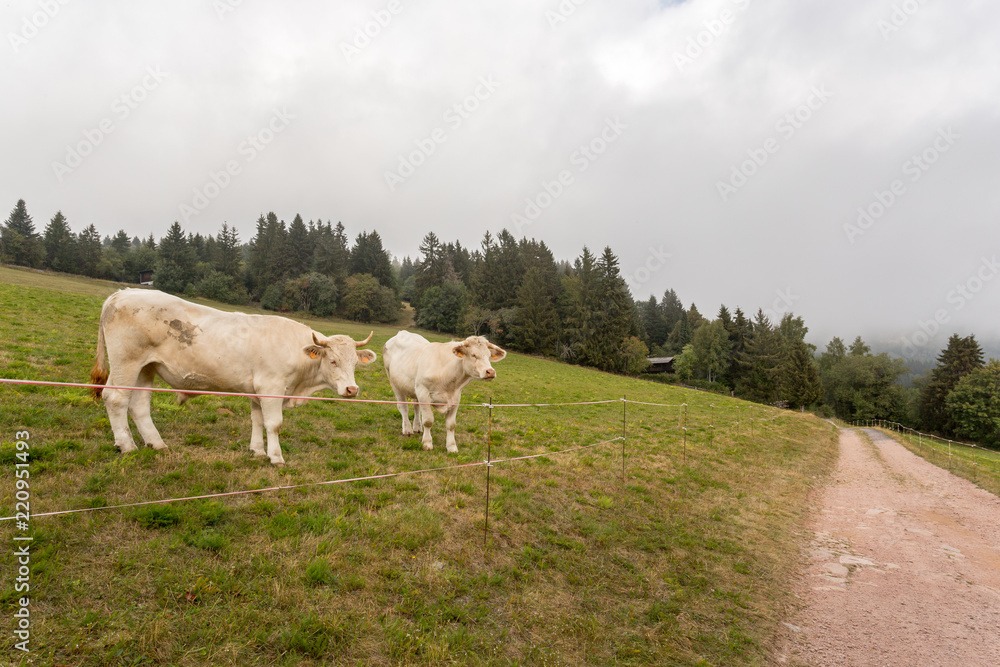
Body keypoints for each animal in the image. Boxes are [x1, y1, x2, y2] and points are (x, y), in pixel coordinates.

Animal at [88, 290, 376, 468]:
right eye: (333, 360)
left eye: (354, 363)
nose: (352, 389)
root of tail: (120, 293)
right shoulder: (271, 387)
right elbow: (274, 424)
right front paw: (276, 457)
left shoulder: (257, 390)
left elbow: (257, 420)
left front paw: (257, 451)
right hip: (126, 362)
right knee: (116, 399)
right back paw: (127, 446)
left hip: (146, 368)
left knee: (139, 405)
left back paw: (157, 444)